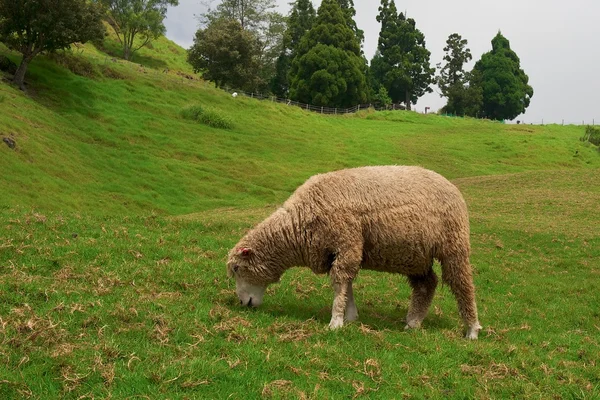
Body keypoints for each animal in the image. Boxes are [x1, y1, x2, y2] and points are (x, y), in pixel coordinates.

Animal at [226, 167, 482, 340]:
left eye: (238, 269)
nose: (242, 303)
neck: (299, 224)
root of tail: (452, 187)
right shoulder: (336, 251)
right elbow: (346, 283)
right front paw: (350, 316)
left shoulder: (347, 241)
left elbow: (340, 282)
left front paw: (335, 321)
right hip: (414, 255)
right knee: (427, 284)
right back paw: (413, 322)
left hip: (453, 244)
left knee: (462, 284)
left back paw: (472, 329)